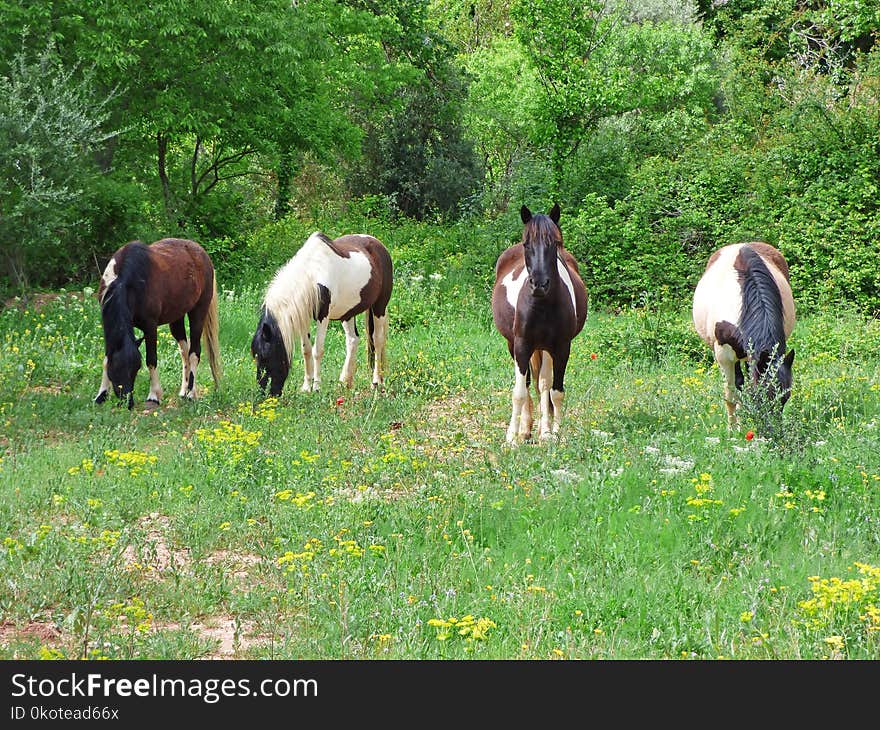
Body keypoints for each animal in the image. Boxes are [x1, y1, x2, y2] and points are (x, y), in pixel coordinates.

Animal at [93, 239, 220, 410]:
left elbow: (151, 360)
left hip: (198, 313)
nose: (128, 403)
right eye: (117, 368)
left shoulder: (150, 327)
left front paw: (154, 396)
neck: (124, 282)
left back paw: (191, 394)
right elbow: (106, 358)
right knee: (184, 351)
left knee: (194, 353)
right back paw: (183, 391)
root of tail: (202, 253)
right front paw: (101, 395)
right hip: (177, 318)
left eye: (136, 368)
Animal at [253, 230, 394, 396]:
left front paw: (317, 387)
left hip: (380, 307)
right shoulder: (303, 317)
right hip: (348, 313)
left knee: (377, 340)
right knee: (353, 340)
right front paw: (306, 387)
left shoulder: (323, 316)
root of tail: (379, 245)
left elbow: (317, 350)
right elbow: (306, 350)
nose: (265, 393)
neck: (312, 276)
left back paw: (376, 382)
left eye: (265, 356)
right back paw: (344, 382)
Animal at [696, 242, 796, 430]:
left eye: (785, 398)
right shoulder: (724, 357)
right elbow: (731, 394)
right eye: (764, 396)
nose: (773, 432)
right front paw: (733, 429)